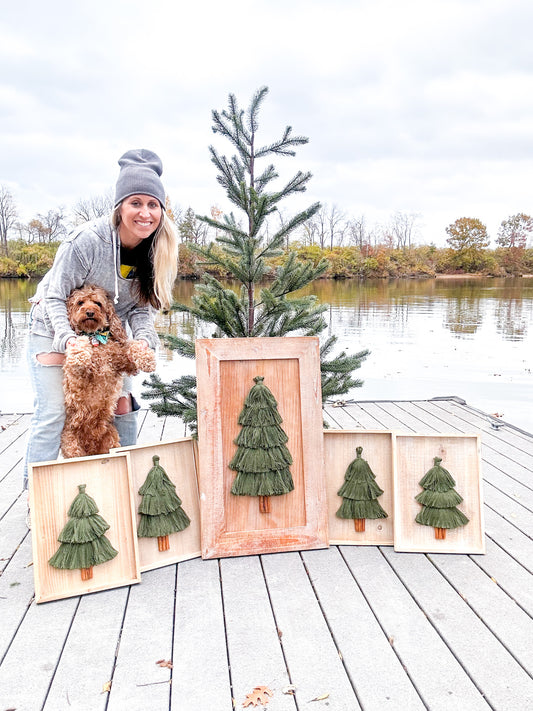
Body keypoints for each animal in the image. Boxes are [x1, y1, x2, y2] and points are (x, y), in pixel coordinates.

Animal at [61, 284, 156, 456]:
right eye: (80, 302)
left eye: (98, 303)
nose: (89, 312)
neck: (96, 337)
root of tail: (91, 447)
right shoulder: (77, 375)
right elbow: (80, 342)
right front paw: (80, 355)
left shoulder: (125, 363)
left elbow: (132, 346)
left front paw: (148, 359)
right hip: (72, 446)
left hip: (111, 441)